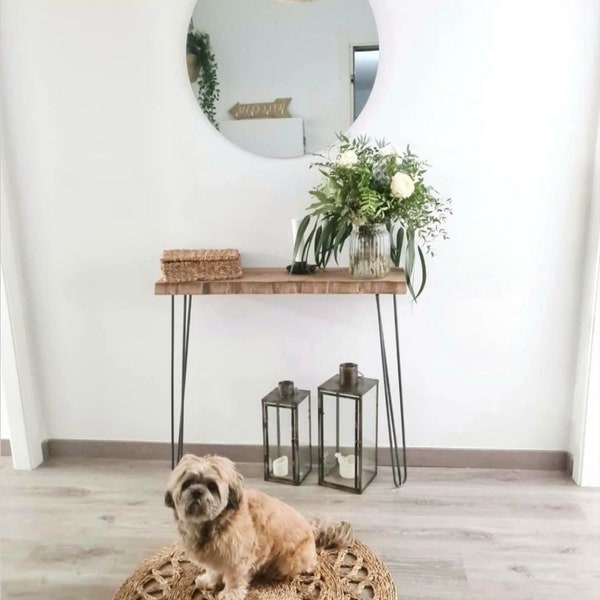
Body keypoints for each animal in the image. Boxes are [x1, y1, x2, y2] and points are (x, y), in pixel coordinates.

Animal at [164, 454, 352, 600]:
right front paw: (209, 580)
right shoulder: (215, 556)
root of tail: (310, 528)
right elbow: (213, 570)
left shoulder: (237, 558)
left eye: (212, 486)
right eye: (187, 483)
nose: (197, 492)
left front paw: (230, 594)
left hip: (289, 560)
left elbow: (234, 578)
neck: (214, 523)